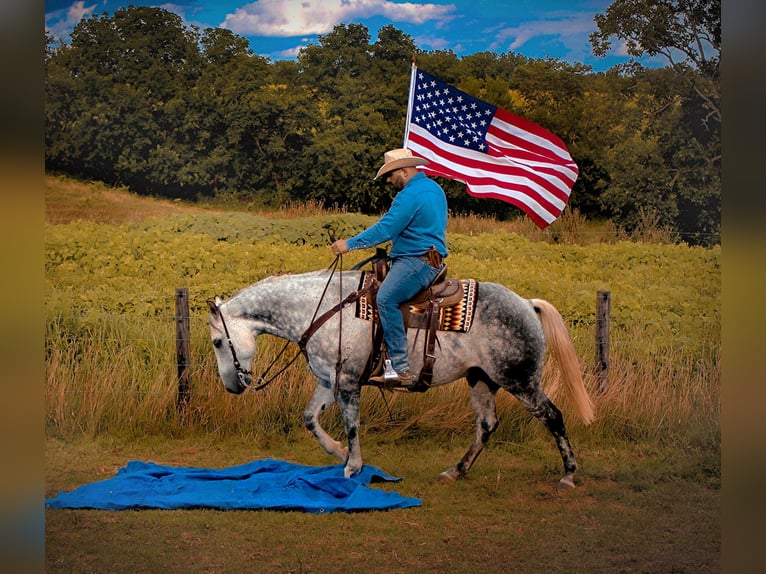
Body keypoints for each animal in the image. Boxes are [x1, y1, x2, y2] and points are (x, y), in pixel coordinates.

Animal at [207, 270, 596, 490]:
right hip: (481, 380)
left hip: (521, 380)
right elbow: (310, 418)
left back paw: (568, 474)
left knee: (553, 417)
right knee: (487, 425)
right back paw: (456, 471)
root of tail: (527, 304)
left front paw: (352, 467)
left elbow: (352, 425)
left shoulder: (348, 383)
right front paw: (337, 453)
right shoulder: (330, 381)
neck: (321, 309)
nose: (231, 386)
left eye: (216, 342)